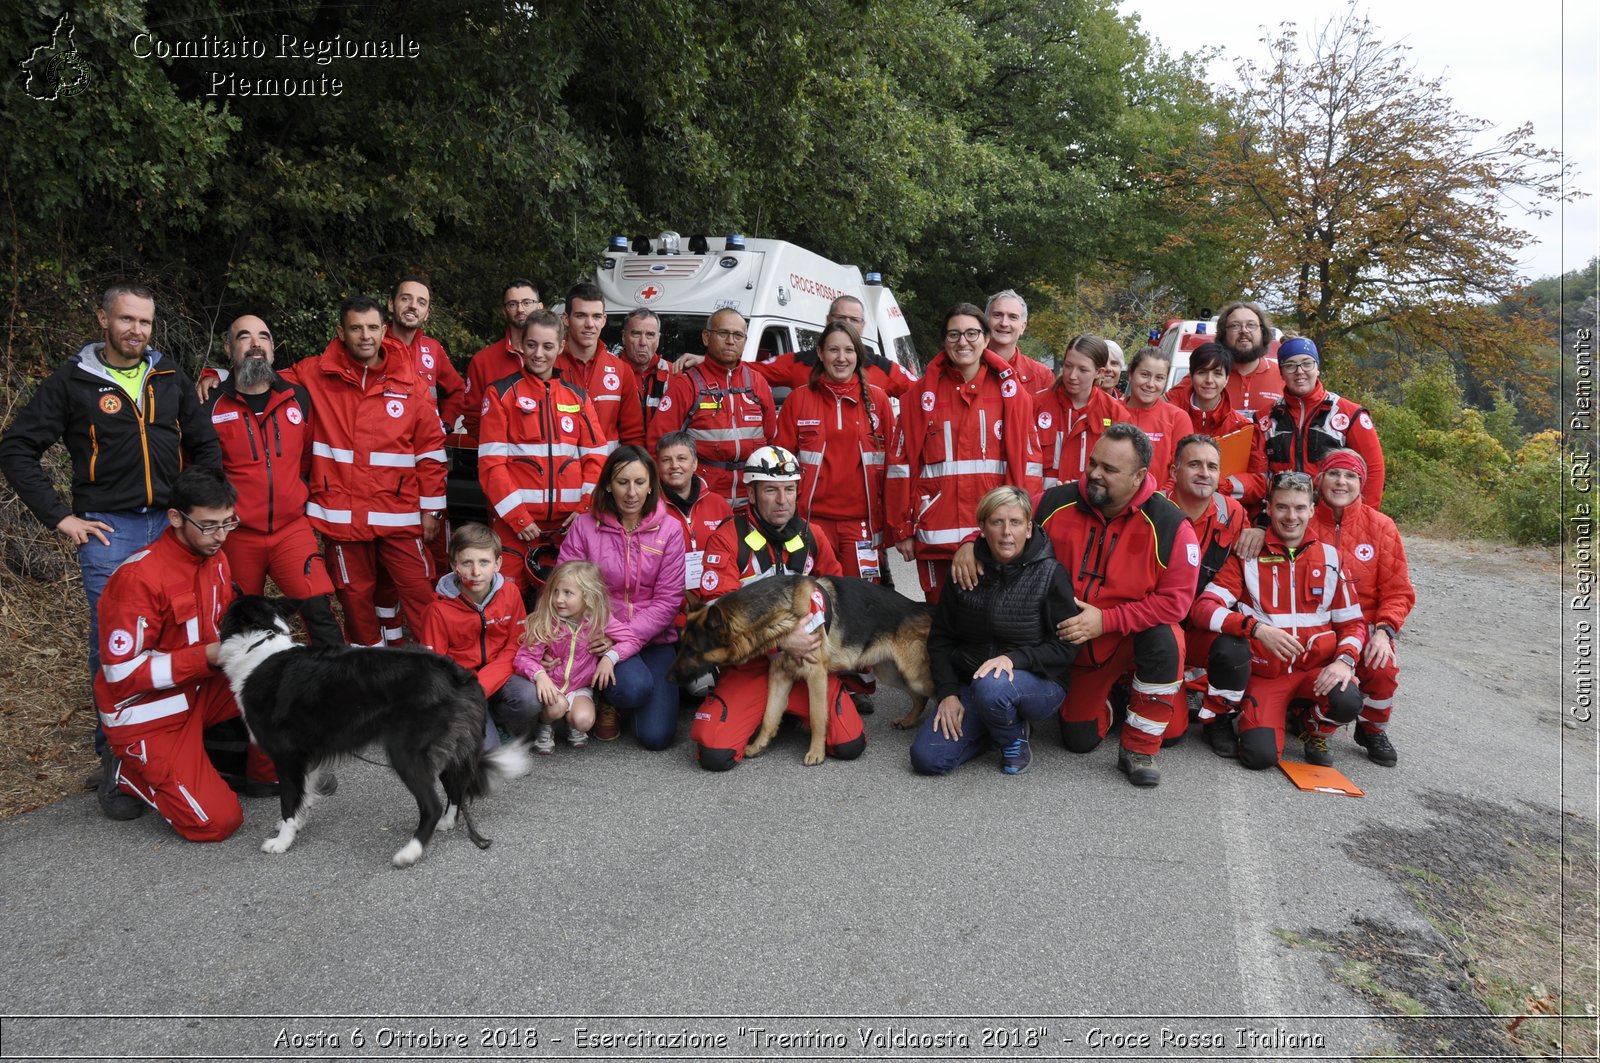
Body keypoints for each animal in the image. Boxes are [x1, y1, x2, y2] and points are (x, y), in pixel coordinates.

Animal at [214, 592, 531, 870]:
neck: (257, 647)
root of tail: (457, 673)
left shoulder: (286, 756)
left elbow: (289, 801)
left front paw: (282, 841)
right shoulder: (306, 755)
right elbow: (303, 796)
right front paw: (295, 825)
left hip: (405, 752)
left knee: (431, 804)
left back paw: (409, 853)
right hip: (444, 748)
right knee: (454, 788)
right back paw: (447, 822)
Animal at [665, 576, 934, 768]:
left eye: (692, 651)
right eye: (682, 644)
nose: (667, 678)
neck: (782, 615)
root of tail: (921, 607)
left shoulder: (815, 676)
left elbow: (816, 716)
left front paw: (816, 752)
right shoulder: (779, 676)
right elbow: (769, 716)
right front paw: (759, 745)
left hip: (912, 674)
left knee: (935, 693)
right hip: (891, 672)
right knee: (921, 697)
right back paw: (909, 721)